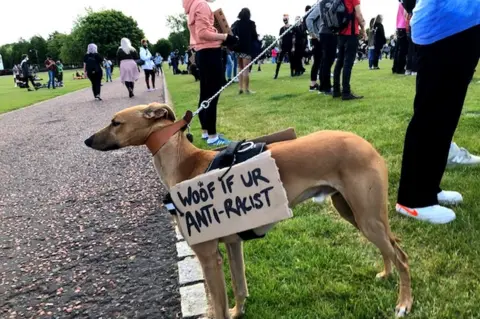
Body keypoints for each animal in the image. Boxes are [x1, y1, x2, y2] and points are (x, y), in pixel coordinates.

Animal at [85, 104, 412, 318]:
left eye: (115, 122)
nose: (87, 140)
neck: (185, 162)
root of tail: (365, 143)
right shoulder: (232, 245)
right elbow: (239, 288)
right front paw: (237, 311)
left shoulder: (208, 256)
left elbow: (217, 306)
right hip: (354, 212)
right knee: (393, 248)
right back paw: (386, 273)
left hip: (367, 217)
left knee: (403, 258)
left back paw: (404, 303)